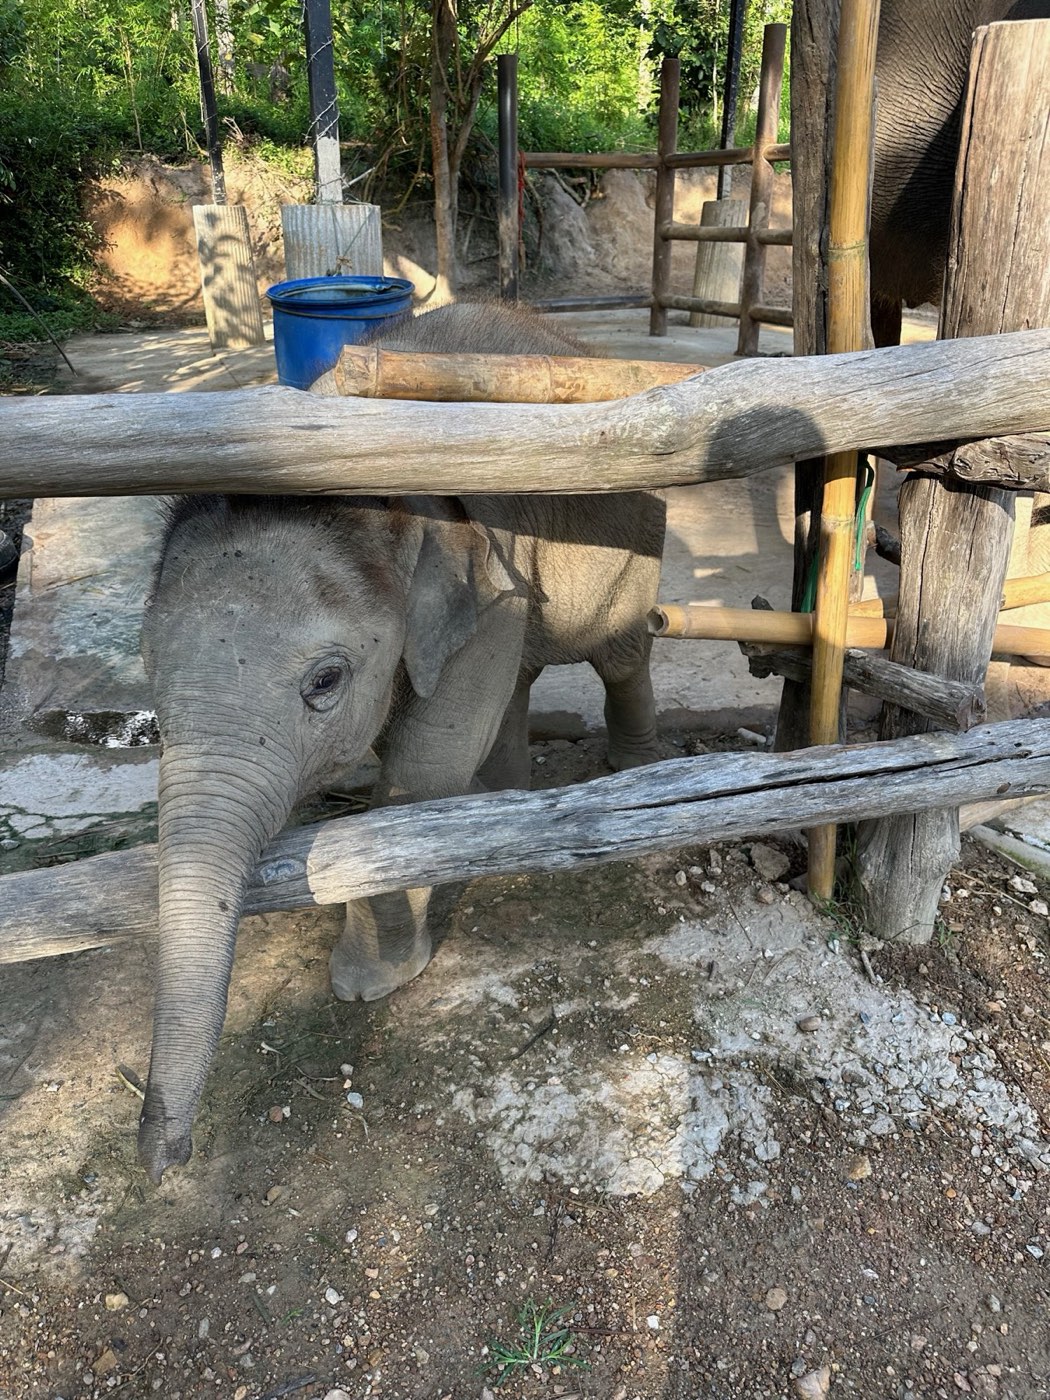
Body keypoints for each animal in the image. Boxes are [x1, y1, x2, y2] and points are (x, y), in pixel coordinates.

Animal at [136, 301, 666, 1184]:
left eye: (325, 681)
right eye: (149, 681)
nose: (162, 1157)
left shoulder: (489, 580)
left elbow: (425, 765)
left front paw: (370, 984)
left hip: (635, 541)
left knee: (620, 651)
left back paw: (632, 767)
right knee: (522, 683)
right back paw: (505, 804)